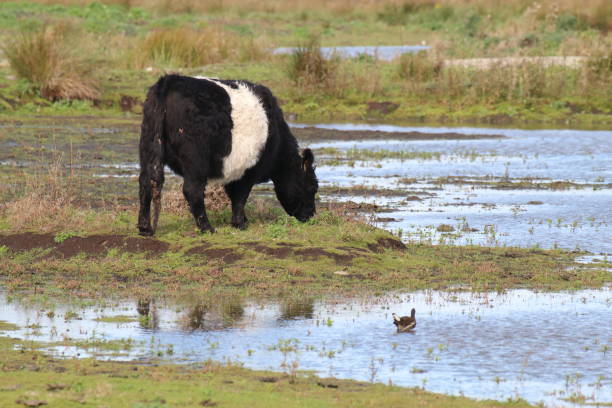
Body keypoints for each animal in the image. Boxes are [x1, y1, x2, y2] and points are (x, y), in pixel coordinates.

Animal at [137, 74, 318, 236]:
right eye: (312, 188)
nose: (311, 215)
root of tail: (169, 80)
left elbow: (233, 195)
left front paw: (244, 220)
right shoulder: (248, 170)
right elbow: (240, 197)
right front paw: (239, 223)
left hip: (148, 146)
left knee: (146, 182)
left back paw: (144, 227)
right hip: (195, 160)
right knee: (192, 190)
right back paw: (207, 228)